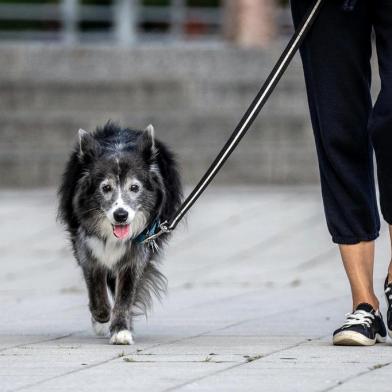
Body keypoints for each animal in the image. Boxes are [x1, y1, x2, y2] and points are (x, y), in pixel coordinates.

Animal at [57, 121, 182, 344]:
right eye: (106, 188)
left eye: (134, 187)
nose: (121, 215)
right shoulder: (85, 244)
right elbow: (95, 282)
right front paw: (101, 317)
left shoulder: (139, 249)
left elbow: (125, 292)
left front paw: (121, 330)